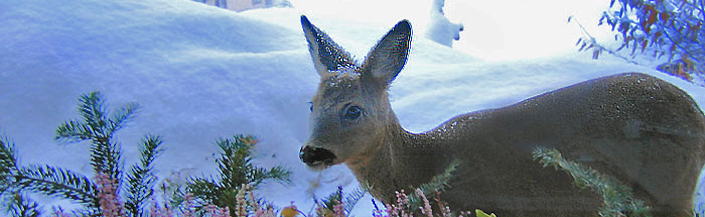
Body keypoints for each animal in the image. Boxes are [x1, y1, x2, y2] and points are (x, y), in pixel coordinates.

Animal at [296, 15, 704, 217]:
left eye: (354, 109)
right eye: (312, 105)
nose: (311, 152)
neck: (422, 164)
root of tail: (695, 112)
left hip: (670, 191)